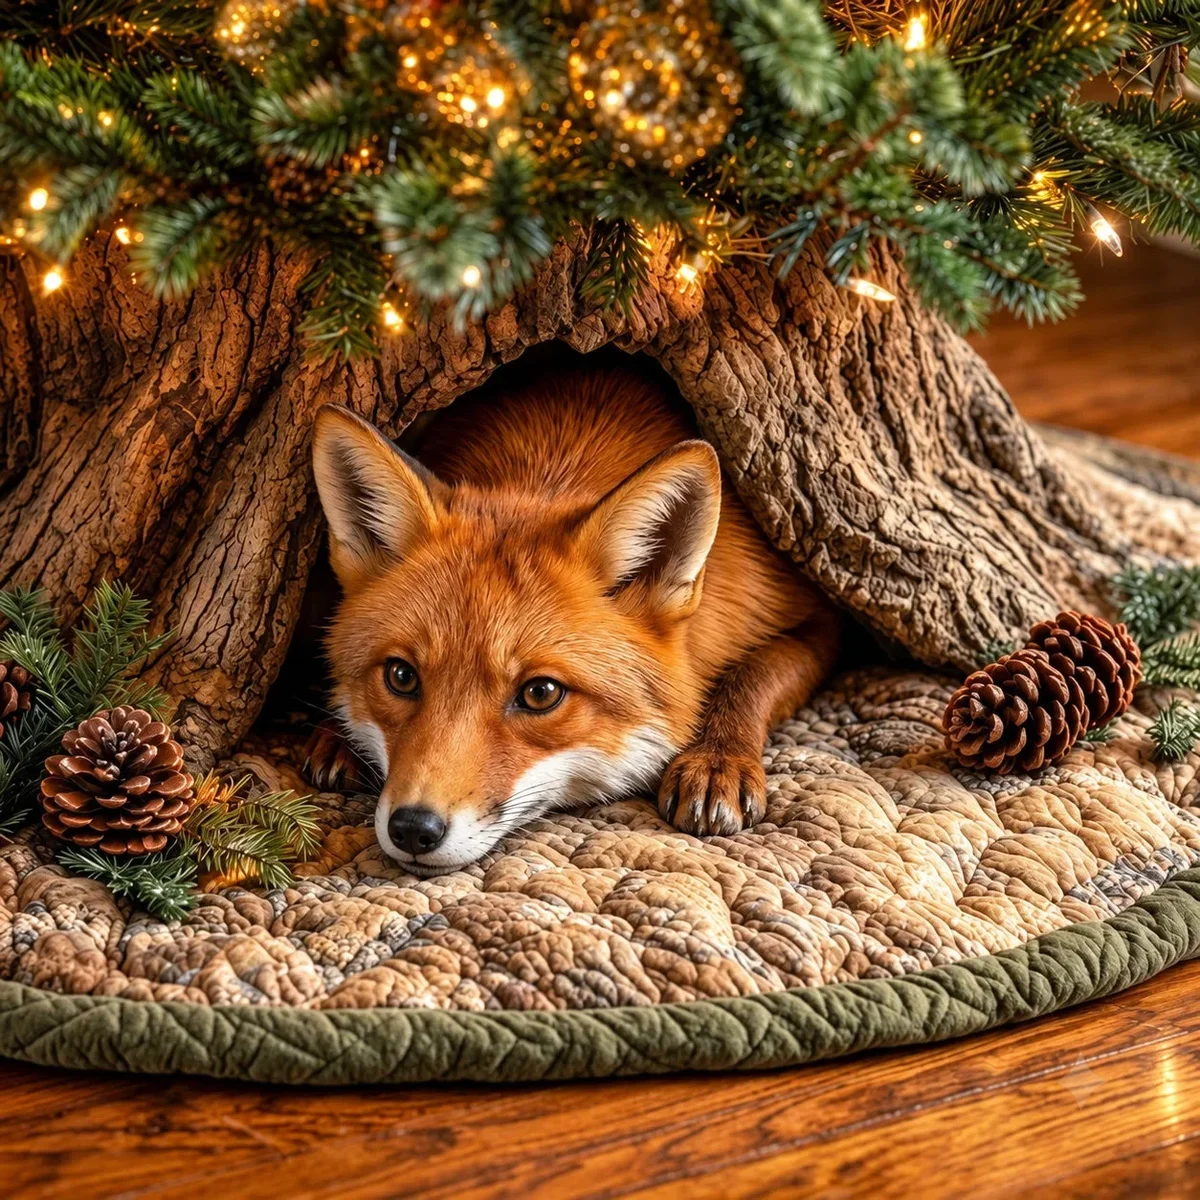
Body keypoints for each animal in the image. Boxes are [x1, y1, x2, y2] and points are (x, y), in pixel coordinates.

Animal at [309, 360, 839, 876]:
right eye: (401, 676)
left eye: (541, 693)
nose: (414, 828)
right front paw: (338, 735)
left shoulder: (820, 621)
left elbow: (753, 675)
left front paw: (716, 759)